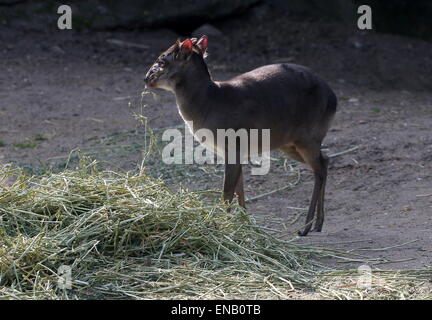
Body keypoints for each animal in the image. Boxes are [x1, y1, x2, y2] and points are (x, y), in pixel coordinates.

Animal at [145, 36, 338, 236]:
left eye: (162, 61)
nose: (146, 79)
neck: (209, 104)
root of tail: (333, 99)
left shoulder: (233, 147)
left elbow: (227, 192)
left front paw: (222, 226)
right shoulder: (233, 152)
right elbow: (240, 190)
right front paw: (245, 227)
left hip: (307, 139)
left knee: (319, 169)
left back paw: (306, 227)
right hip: (290, 144)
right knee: (325, 161)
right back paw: (318, 224)